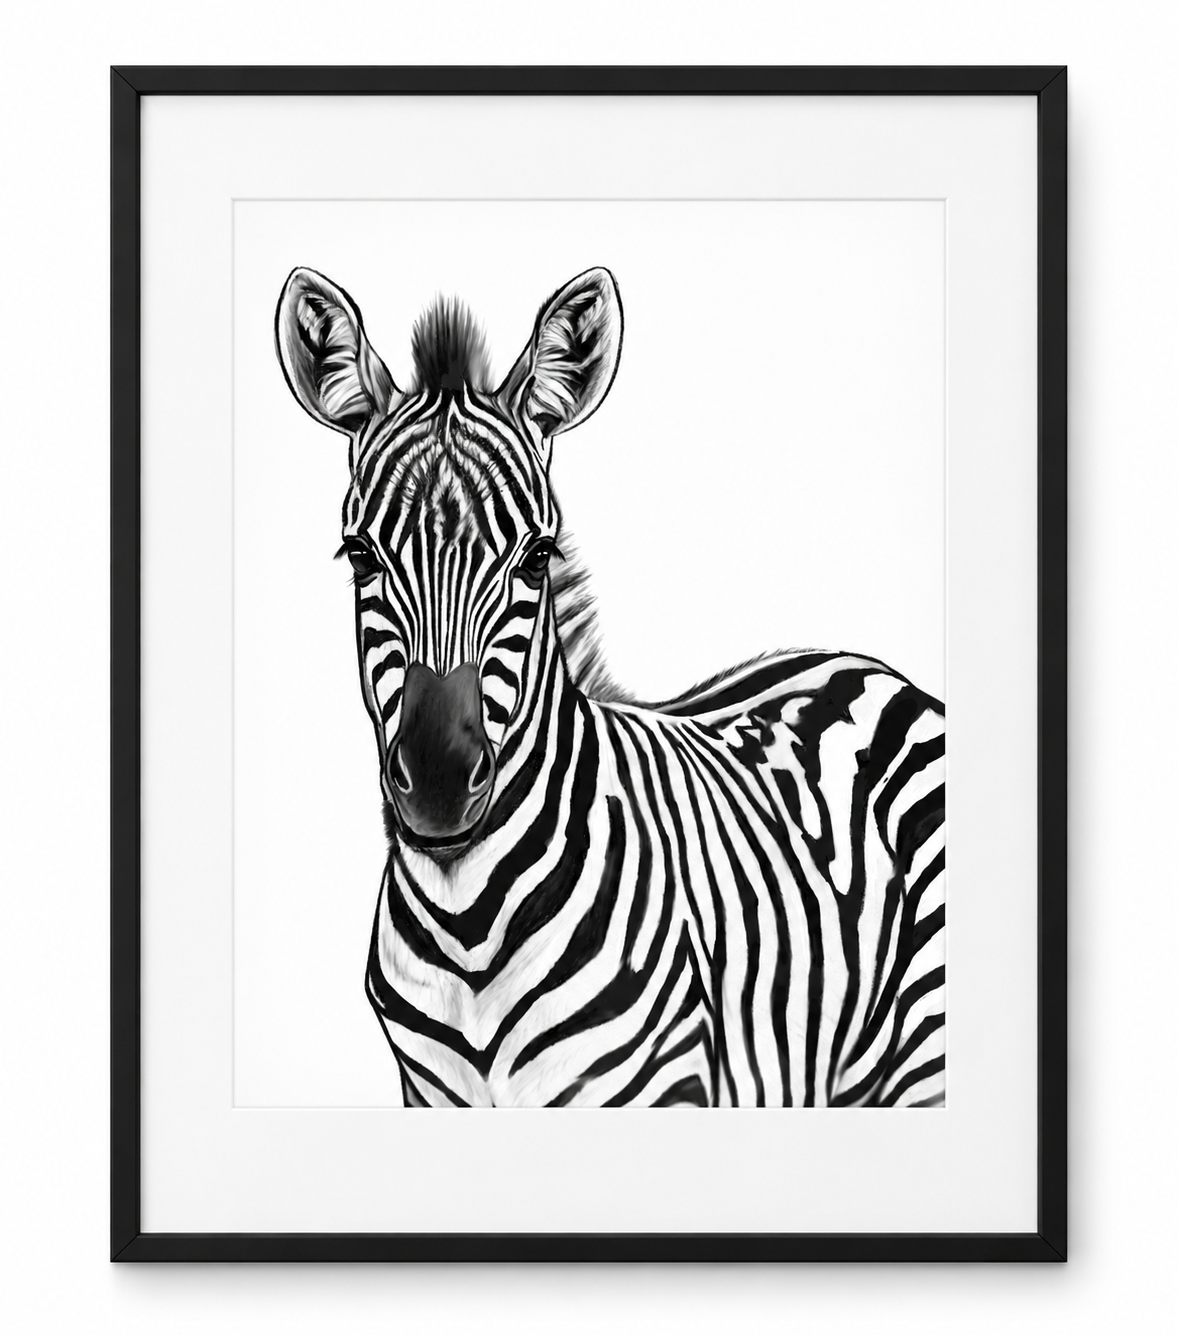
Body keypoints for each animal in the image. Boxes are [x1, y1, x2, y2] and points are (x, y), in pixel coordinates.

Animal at [275, 265, 946, 1108]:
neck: (468, 931)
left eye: (537, 557)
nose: (436, 780)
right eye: (360, 555)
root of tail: (857, 664)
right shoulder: (427, 1091)